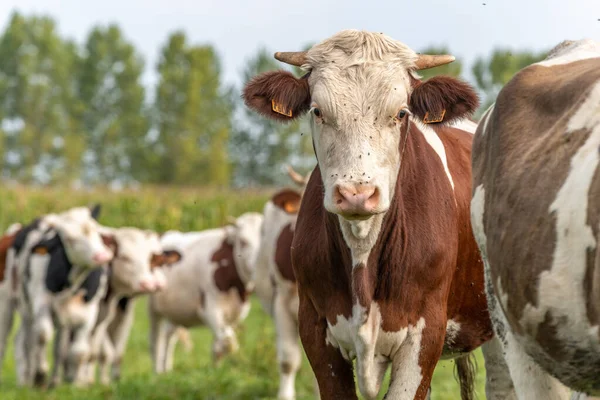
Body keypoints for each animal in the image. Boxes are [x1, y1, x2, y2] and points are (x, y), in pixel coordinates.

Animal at [148, 212, 262, 372]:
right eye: (243, 241)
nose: (255, 266)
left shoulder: (235, 314)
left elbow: (219, 346)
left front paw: (216, 371)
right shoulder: (209, 309)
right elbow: (228, 343)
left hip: (175, 310)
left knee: (169, 335)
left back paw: (166, 370)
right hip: (154, 310)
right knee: (155, 341)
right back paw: (157, 371)